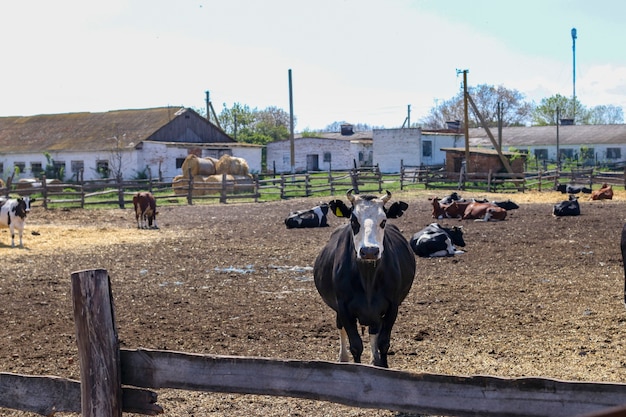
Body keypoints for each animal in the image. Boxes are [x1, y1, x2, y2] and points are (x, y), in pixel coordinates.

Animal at [312, 190, 414, 366]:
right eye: (353, 220)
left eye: (383, 221)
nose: (370, 251)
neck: (368, 279)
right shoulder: (343, 307)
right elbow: (356, 346)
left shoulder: (393, 306)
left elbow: (383, 343)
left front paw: (382, 365)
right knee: (341, 328)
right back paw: (343, 358)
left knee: (374, 332)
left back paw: (375, 360)